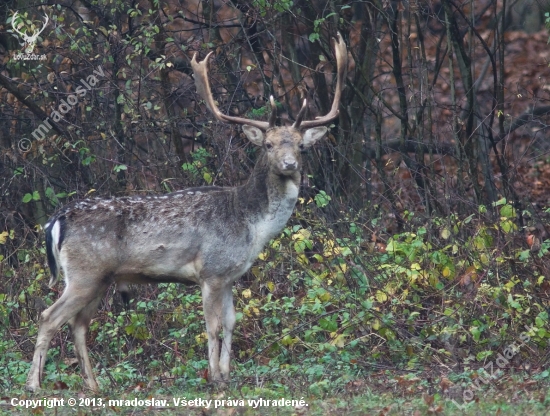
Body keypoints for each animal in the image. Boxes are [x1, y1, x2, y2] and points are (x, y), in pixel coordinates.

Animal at [27, 33, 350, 394]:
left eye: (300, 145)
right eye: (268, 145)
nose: (290, 164)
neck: (251, 225)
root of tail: (57, 220)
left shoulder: (229, 274)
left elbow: (231, 323)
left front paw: (227, 374)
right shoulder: (210, 271)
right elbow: (211, 326)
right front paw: (215, 379)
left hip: (98, 278)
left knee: (78, 324)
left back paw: (94, 385)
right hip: (85, 273)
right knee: (49, 317)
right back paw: (34, 385)